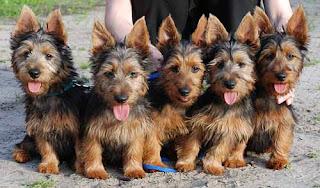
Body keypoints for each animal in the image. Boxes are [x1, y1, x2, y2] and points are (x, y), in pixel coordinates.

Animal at [11, 6, 84, 174]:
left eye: (49, 56)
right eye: (26, 53)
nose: (34, 72)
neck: (49, 94)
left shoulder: (77, 128)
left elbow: (79, 149)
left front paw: (79, 166)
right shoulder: (38, 126)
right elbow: (45, 146)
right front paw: (49, 165)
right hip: (29, 135)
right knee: (24, 143)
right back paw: (20, 153)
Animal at [78, 16, 152, 178]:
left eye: (133, 73)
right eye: (109, 73)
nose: (121, 98)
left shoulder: (136, 130)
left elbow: (134, 150)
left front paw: (134, 169)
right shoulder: (92, 129)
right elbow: (92, 149)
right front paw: (95, 170)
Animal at [141, 14, 206, 168]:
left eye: (195, 68)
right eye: (174, 68)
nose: (184, 91)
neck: (175, 104)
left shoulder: (189, 127)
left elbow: (189, 144)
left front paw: (185, 162)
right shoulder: (152, 124)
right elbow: (152, 143)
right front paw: (154, 163)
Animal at [175, 12, 260, 175]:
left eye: (241, 64)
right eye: (220, 64)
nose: (230, 84)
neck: (224, 103)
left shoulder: (229, 129)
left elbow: (219, 149)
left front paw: (212, 165)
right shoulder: (197, 122)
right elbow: (191, 144)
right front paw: (185, 163)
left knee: (240, 145)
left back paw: (235, 160)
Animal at [246, 6, 308, 170]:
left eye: (291, 56)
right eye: (269, 56)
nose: (281, 76)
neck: (269, 93)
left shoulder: (284, 118)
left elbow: (282, 138)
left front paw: (278, 159)